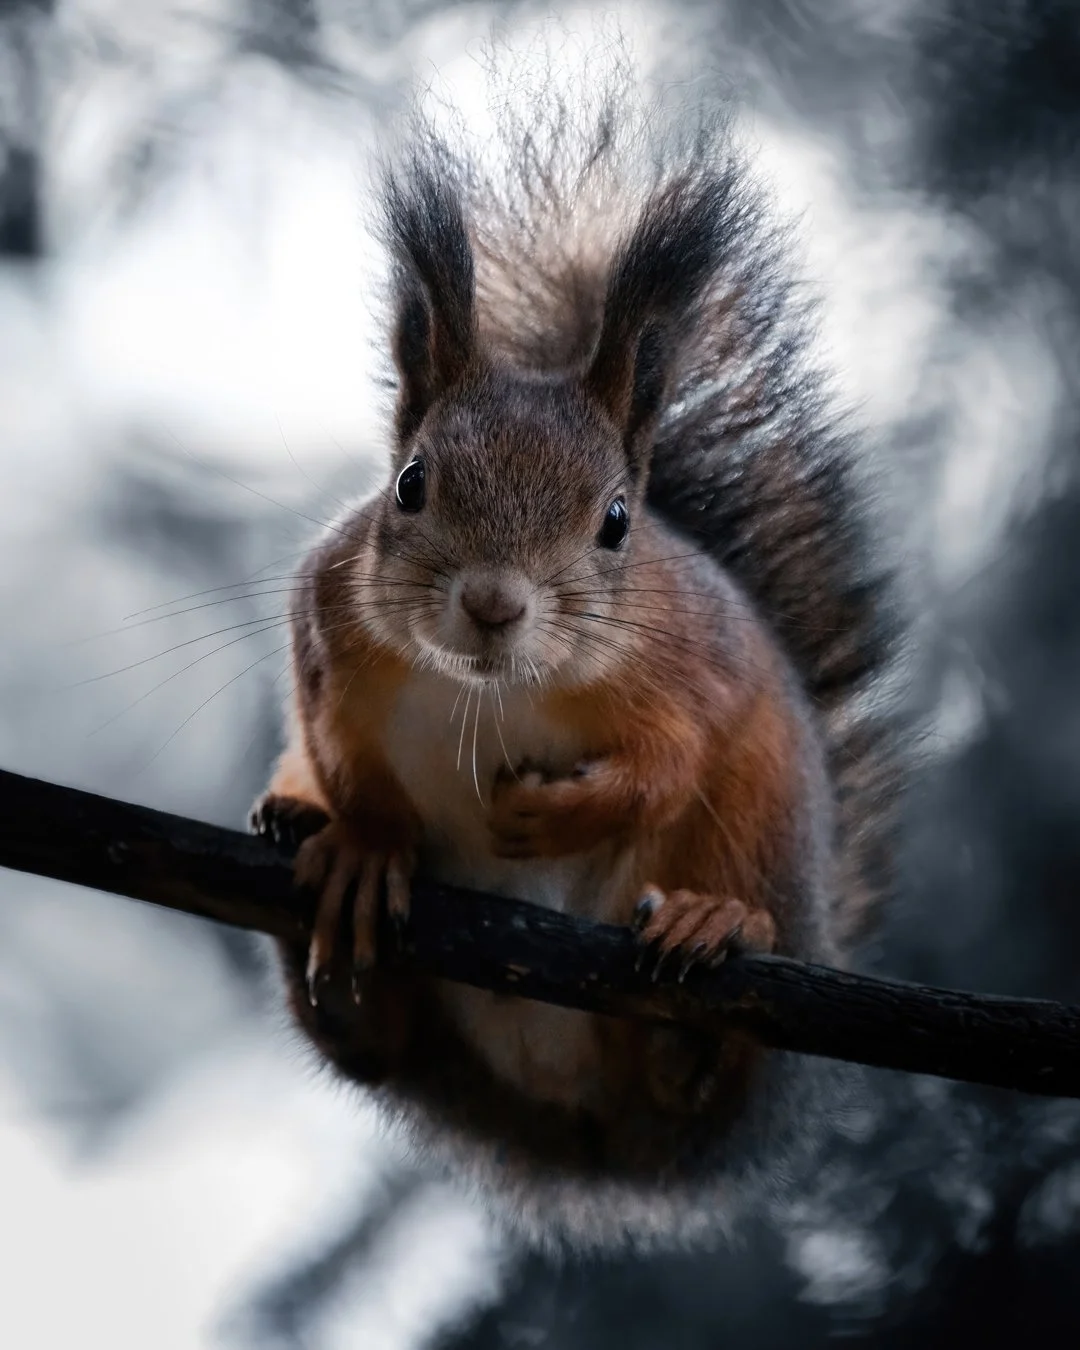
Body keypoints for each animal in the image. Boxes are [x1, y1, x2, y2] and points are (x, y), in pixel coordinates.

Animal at [250, 84, 903, 1249]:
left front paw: (554, 814)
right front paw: (368, 844)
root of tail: (578, 1122)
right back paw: (313, 869)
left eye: (615, 522)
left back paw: (712, 941)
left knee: (697, 1070)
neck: (489, 689)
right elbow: (341, 749)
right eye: (411, 483)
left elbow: (669, 763)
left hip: (763, 820)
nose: (494, 603)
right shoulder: (325, 630)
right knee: (370, 1043)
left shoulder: (697, 667)